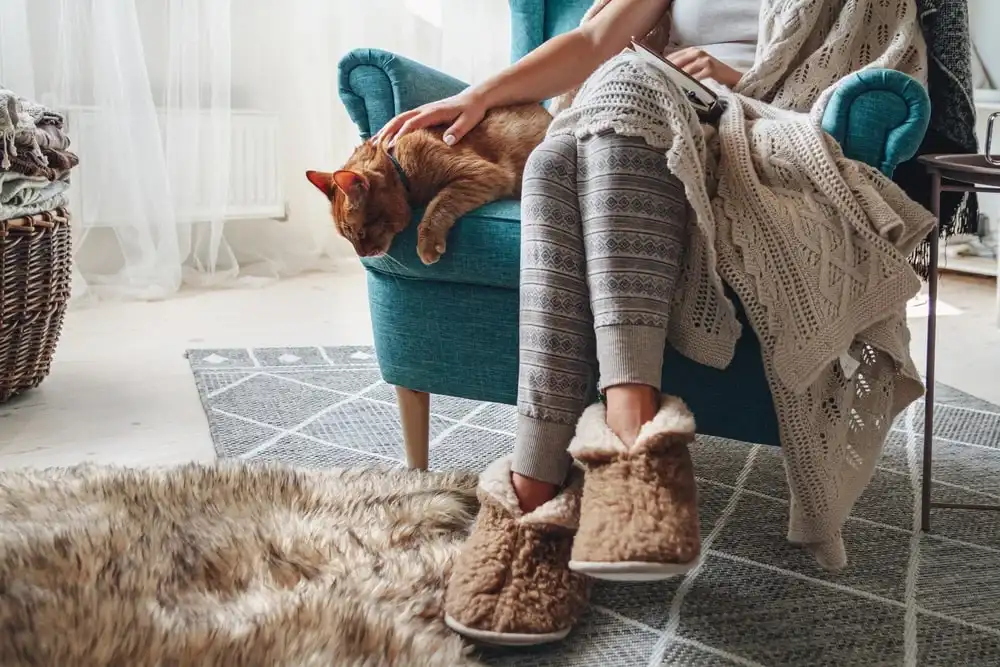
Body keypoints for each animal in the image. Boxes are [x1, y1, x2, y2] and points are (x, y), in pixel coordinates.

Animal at [308, 103, 552, 264]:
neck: (399, 163)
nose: (361, 255)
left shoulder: (482, 174)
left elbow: (439, 203)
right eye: (347, 238)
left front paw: (427, 242)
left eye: (359, 234)